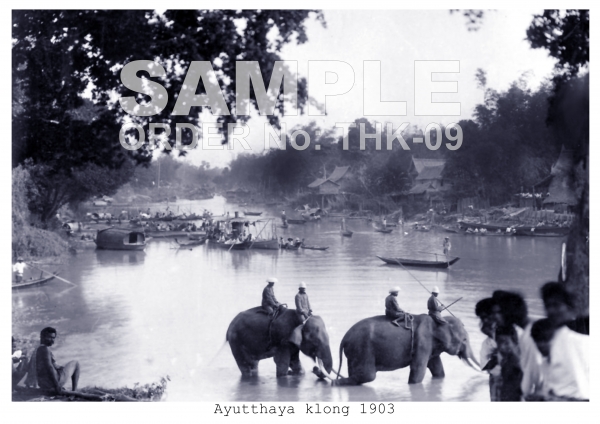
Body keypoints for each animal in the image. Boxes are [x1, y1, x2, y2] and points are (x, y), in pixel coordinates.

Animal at [336, 314, 480, 386]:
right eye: (465, 340)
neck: (438, 321)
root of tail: (344, 338)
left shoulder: (431, 347)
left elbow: (438, 369)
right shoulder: (422, 341)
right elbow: (418, 368)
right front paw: (413, 385)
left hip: (355, 352)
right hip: (363, 349)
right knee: (368, 376)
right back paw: (335, 382)